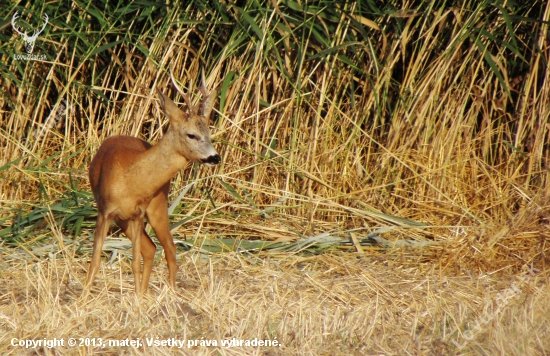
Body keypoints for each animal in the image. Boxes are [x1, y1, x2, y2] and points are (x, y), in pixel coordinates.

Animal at [86, 70, 220, 294]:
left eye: (209, 134)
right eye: (191, 135)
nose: (214, 157)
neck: (130, 180)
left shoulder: (138, 214)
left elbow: (134, 263)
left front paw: (138, 298)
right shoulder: (105, 212)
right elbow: (95, 261)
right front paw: (84, 297)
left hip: (157, 206)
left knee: (168, 248)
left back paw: (170, 293)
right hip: (124, 219)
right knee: (152, 249)